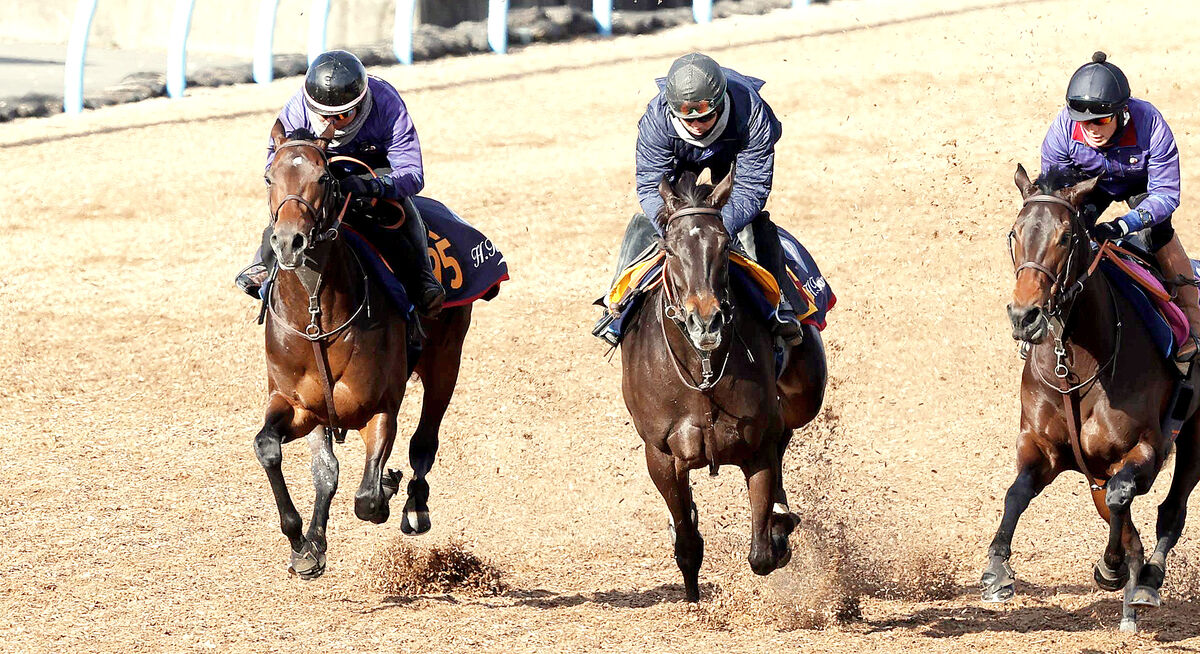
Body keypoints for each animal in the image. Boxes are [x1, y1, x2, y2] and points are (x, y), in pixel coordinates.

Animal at [254, 122, 472, 576]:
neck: (316, 319)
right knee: (327, 469)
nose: (289, 242)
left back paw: (414, 503)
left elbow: (368, 500)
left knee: (425, 439)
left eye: (324, 178)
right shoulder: (298, 406)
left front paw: (387, 484)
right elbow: (276, 451)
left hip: (446, 362)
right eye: (269, 177)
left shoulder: (380, 407)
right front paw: (303, 543)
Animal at [619, 169, 825, 602]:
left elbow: (762, 553)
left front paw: (778, 529)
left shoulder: (758, 445)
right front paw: (692, 591)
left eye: (724, 243)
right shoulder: (660, 454)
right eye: (670, 248)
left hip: (805, 395)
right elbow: (686, 539)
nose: (706, 321)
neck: (703, 374)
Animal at [979, 164, 1200, 633]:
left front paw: (1115, 568)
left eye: (1066, 237)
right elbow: (1016, 493)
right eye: (1014, 233)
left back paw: (1146, 582)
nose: (1025, 317)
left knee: (1170, 510)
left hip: (1196, 438)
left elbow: (1121, 499)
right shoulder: (1043, 448)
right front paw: (997, 570)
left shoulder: (1146, 449)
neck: (1076, 364)